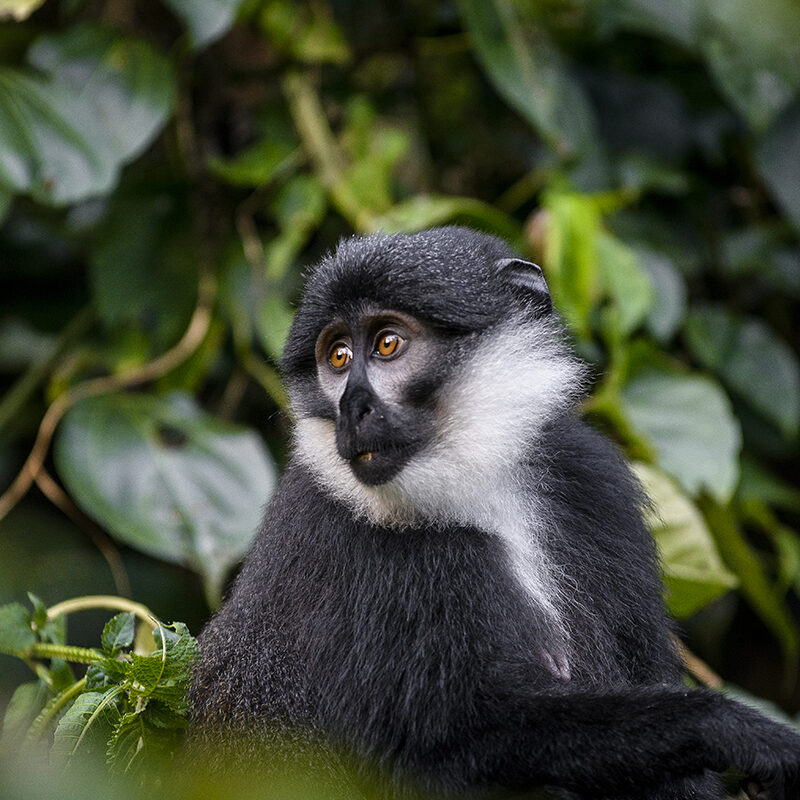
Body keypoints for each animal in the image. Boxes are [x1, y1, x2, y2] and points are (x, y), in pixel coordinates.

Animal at [191, 227, 800, 799]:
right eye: (337, 357)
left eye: (387, 344)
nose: (350, 407)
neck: (476, 489)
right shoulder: (355, 538)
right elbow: (447, 750)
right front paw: (732, 729)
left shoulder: (592, 480)